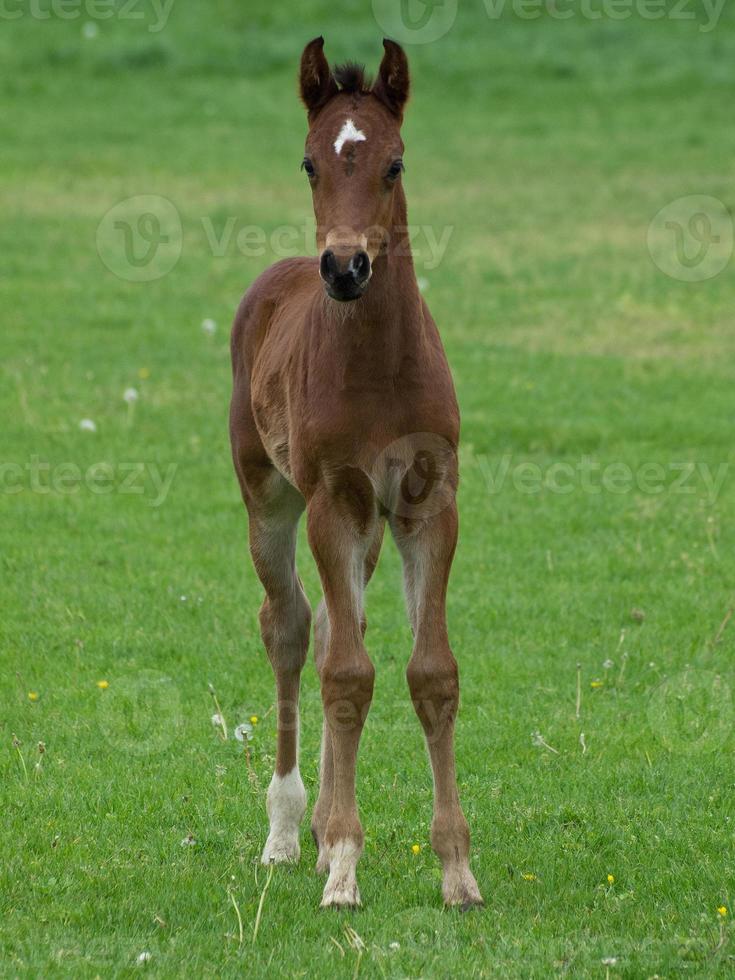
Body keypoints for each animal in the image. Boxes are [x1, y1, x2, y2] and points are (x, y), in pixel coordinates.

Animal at [230, 38, 484, 912]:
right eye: (309, 162)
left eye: (394, 163)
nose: (345, 267)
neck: (377, 365)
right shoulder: (331, 501)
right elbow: (343, 675)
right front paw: (343, 861)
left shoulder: (426, 503)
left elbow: (429, 673)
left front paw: (456, 871)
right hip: (269, 498)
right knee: (291, 629)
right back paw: (288, 831)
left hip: (369, 530)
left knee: (341, 629)